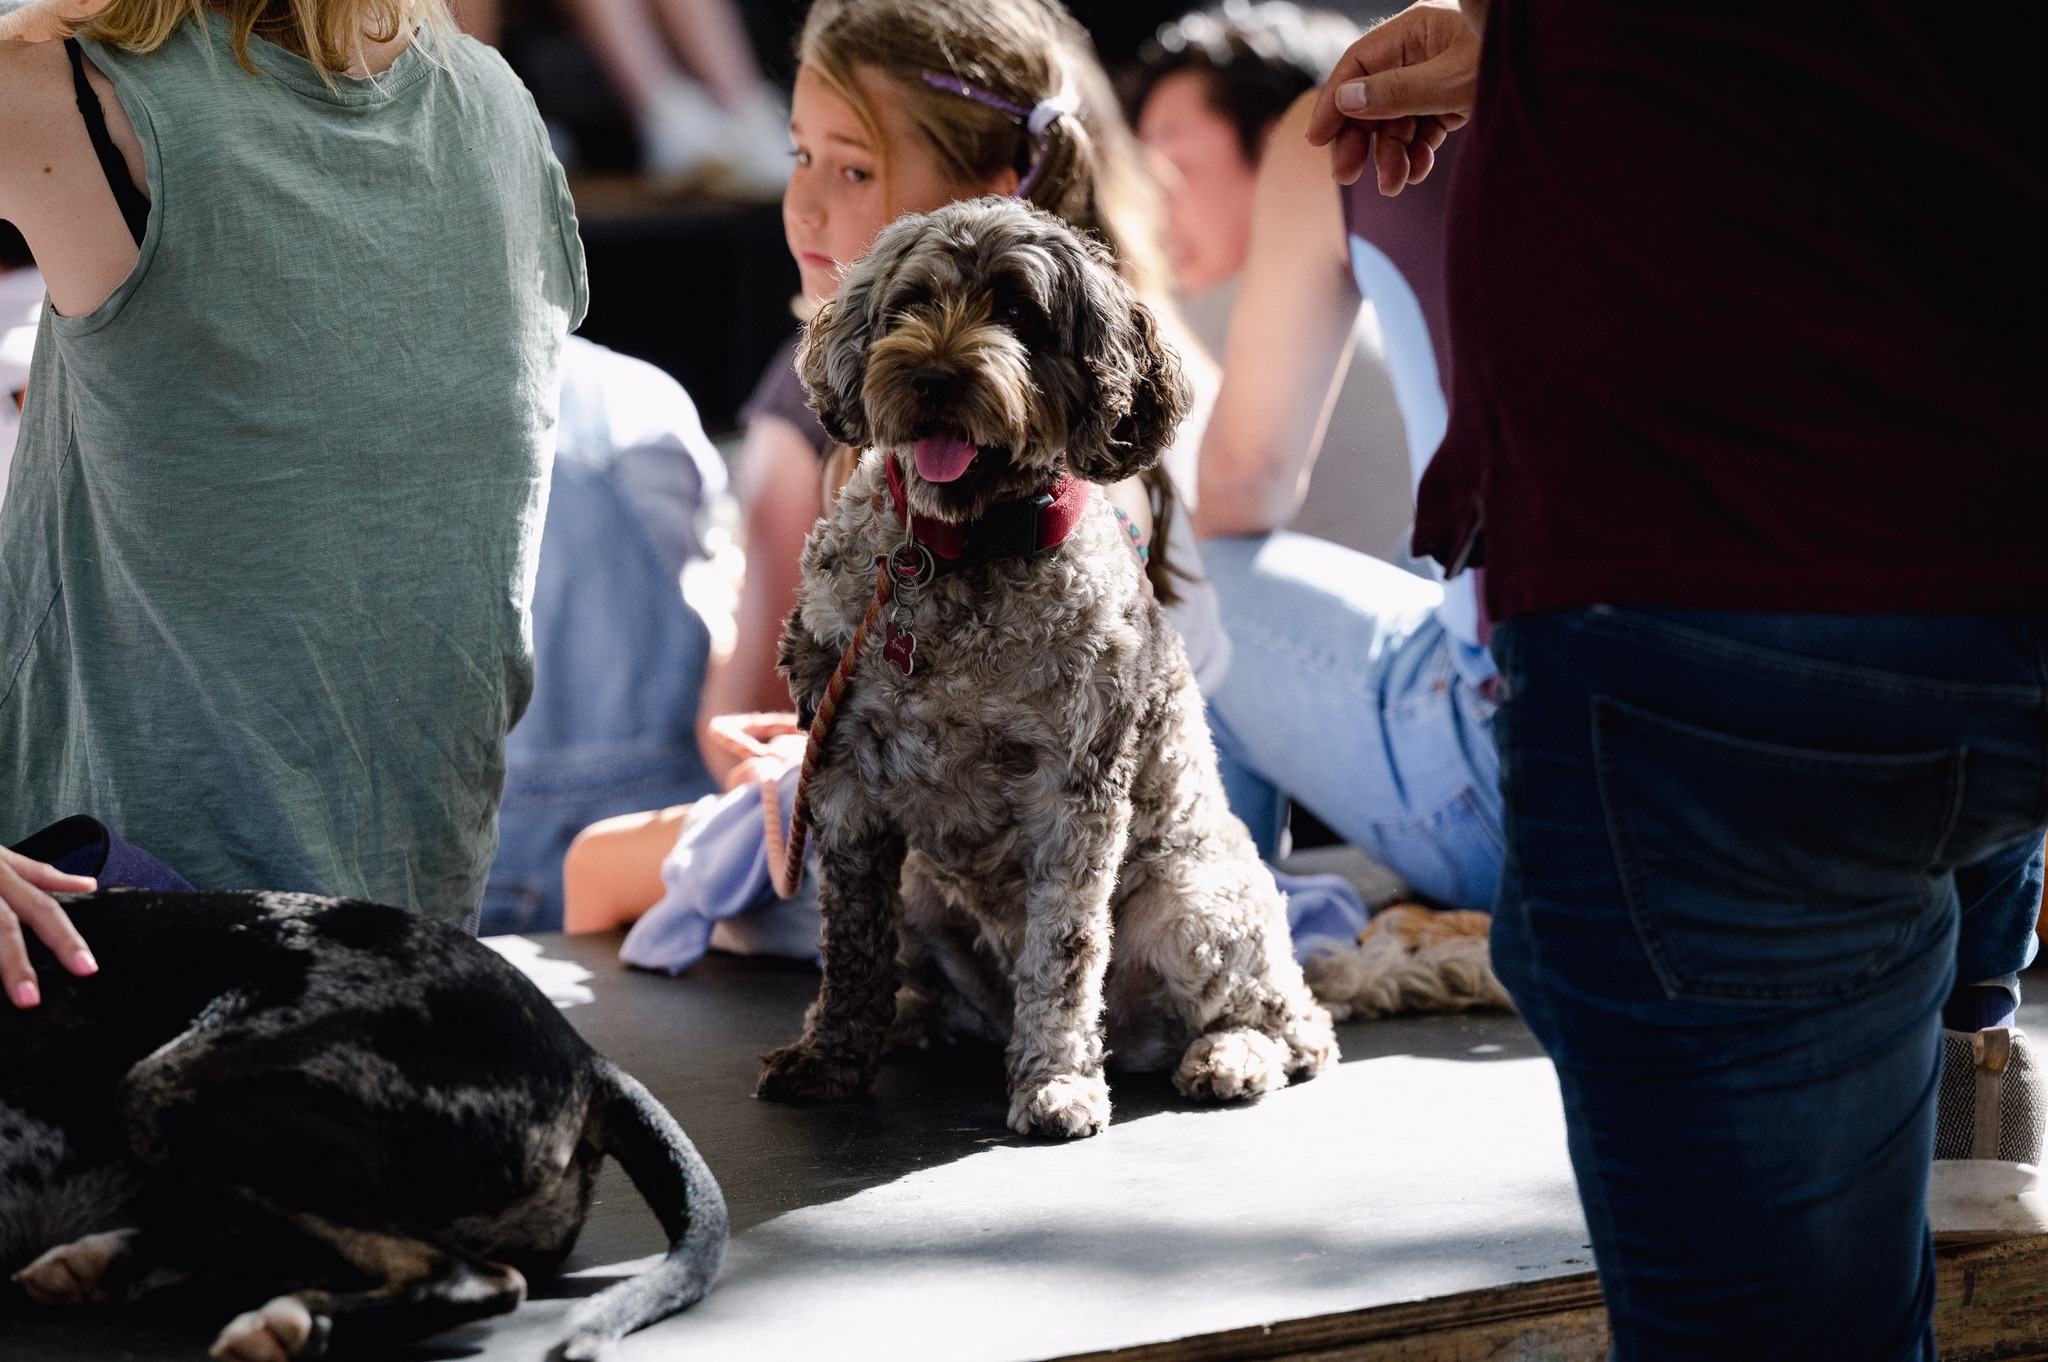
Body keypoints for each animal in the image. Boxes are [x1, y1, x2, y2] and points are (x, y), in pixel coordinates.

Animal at [761, 196, 1335, 1138]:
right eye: (912, 302)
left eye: (1021, 314)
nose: (934, 377)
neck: (957, 549)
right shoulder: (844, 788)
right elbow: (849, 948)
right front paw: (833, 1056)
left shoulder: (1077, 790)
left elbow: (1063, 952)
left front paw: (1055, 1083)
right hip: (923, 889)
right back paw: (920, 1021)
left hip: (1190, 896)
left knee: (1298, 1026)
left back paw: (1227, 1058)